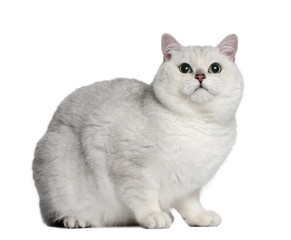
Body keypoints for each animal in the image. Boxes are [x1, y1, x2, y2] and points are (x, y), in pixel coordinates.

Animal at [33, 33, 245, 229]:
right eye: (185, 68)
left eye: (215, 68)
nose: (200, 76)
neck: (197, 123)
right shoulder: (133, 170)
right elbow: (143, 197)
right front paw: (154, 216)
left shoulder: (190, 183)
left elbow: (190, 204)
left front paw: (200, 217)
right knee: (56, 214)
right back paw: (77, 219)